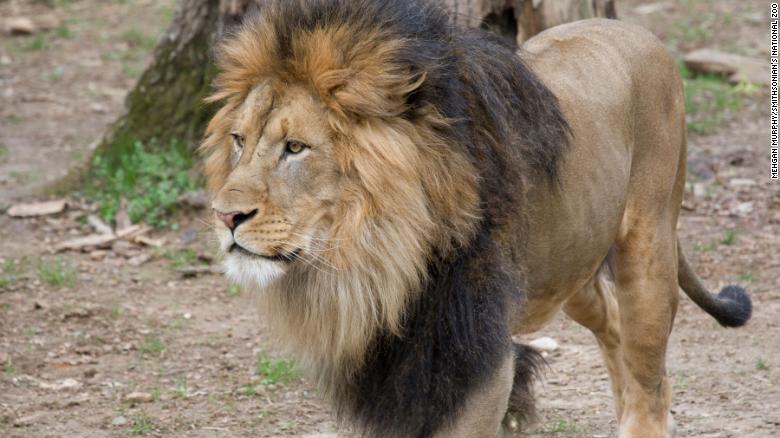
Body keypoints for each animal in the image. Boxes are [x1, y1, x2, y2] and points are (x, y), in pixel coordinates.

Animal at [200, 1, 752, 436]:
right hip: (570, 268)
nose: (225, 216)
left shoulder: (473, 357)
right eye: (239, 141)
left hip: (648, 246)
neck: (374, 259)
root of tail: (641, 35)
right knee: (614, 327)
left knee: (649, 383)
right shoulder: (396, 365)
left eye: (295, 148)